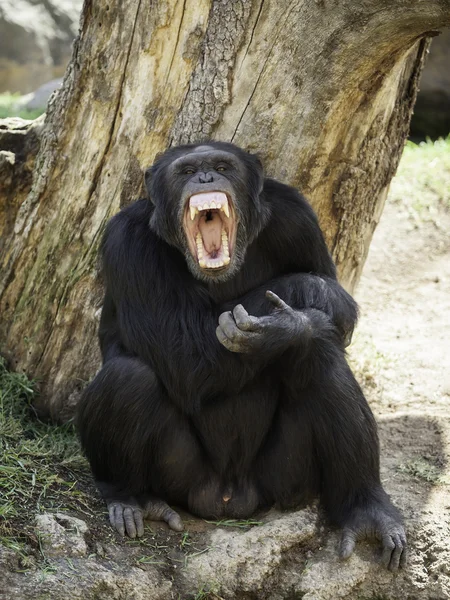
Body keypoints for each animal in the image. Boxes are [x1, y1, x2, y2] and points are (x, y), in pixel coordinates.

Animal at [77, 142, 408, 572]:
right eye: (186, 171)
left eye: (222, 166)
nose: (205, 178)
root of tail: (229, 500)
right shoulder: (127, 244)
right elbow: (184, 354)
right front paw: (299, 300)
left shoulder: (298, 217)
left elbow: (334, 304)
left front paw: (288, 324)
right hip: (182, 479)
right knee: (127, 378)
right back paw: (129, 497)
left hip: (284, 479)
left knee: (323, 357)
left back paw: (366, 508)